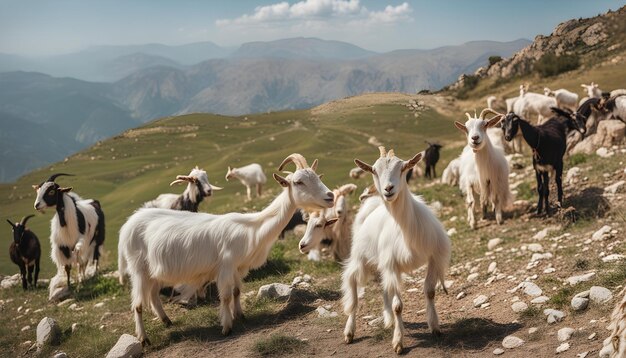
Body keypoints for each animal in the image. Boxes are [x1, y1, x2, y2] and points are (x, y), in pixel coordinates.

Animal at [117, 154, 332, 344]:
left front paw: (240, 316)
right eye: (298, 182)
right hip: (138, 268)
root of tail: (128, 224)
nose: (330, 196)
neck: (252, 227)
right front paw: (227, 326)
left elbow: (237, 291)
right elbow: (226, 296)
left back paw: (166, 321)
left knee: (153, 295)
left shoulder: (237, 267)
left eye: (317, 177)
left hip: (153, 272)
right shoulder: (225, 266)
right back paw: (144, 339)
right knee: (137, 305)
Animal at [342, 147, 448, 354]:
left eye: (403, 168)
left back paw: (389, 320)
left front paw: (435, 327)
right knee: (352, 284)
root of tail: (372, 206)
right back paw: (350, 331)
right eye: (374, 170)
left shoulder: (434, 258)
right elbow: (398, 305)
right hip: (360, 257)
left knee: (385, 288)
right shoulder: (392, 265)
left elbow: (430, 292)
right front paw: (398, 342)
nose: (388, 189)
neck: (406, 229)